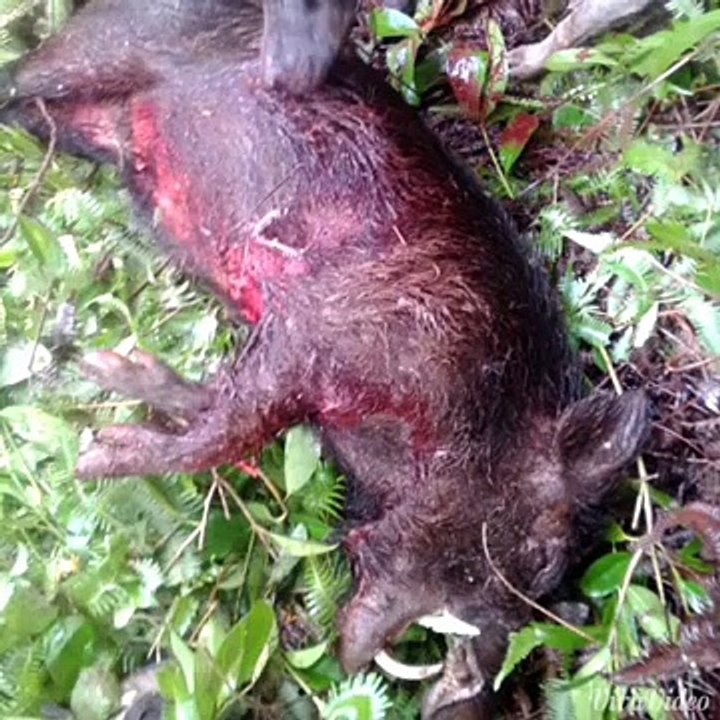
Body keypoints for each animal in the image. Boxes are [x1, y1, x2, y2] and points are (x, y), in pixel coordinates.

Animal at [0, 0, 649, 716]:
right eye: (544, 555)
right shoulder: (324, 335)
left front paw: (123, 384)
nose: (471, 694)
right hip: (101, 49)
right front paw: (97, 445)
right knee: (15, 78)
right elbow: (228, 430)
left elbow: (221, 408)